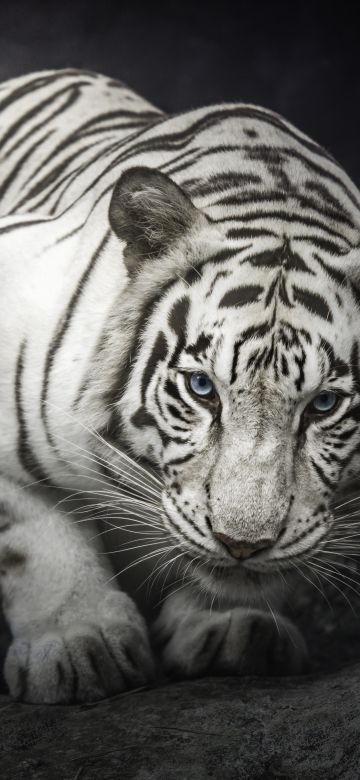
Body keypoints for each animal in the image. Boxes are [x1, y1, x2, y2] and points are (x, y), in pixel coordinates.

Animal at [0, 70, 360, 704]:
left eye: (324, 404)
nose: (243, 544)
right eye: (201, 388)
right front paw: (75, 645)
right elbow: (37, 537)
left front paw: (235, 627)